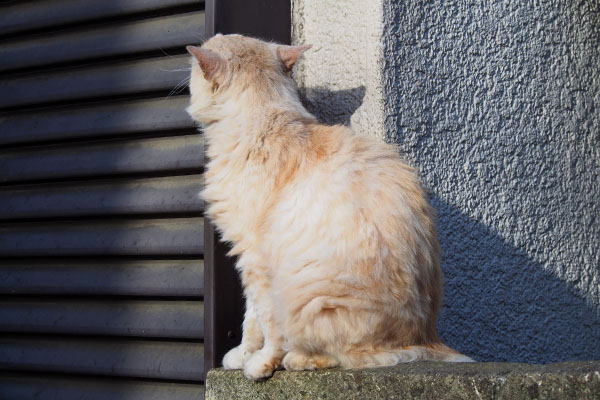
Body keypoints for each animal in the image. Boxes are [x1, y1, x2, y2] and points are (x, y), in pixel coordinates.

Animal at [185, 35, 472, 382]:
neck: (265, 121)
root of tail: (427, 338)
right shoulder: (248, 259)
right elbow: (251, 318)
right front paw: (243, 355)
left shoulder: (253, 258)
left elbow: (262, 320)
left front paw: (259, 362)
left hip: (310, 297)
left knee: (346, 356)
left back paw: (297, 358)